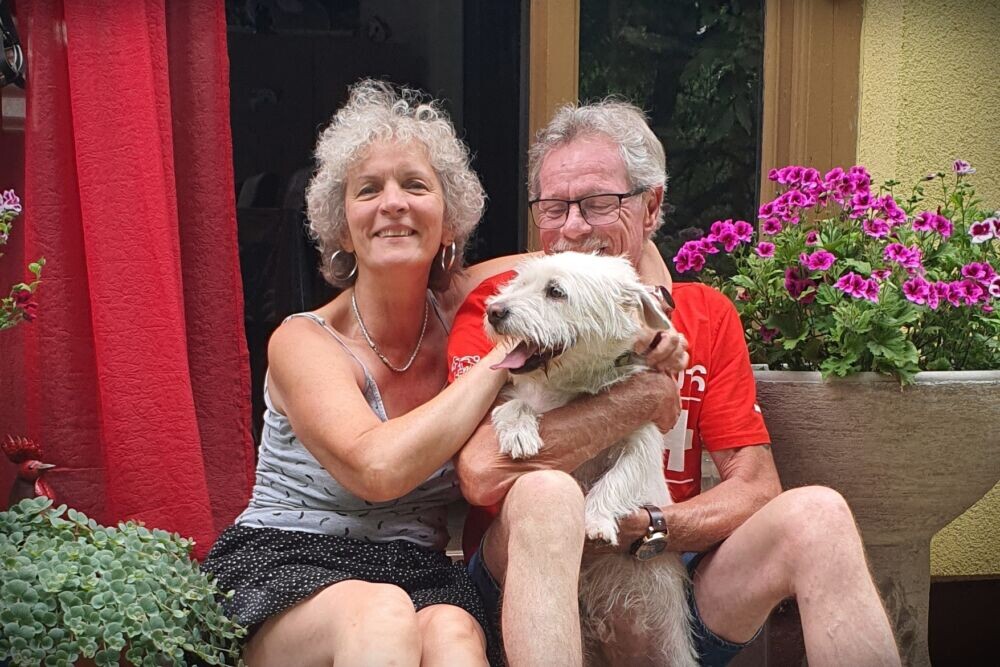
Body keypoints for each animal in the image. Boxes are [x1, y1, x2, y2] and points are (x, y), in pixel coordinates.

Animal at [485, 251, 697, 666]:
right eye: (519, 283)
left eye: (555, 291)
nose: (494, 311)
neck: (572, 387)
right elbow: (515, 405)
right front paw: (519, 430)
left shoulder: (641, 441)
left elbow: (619, 477)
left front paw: (597, 518)